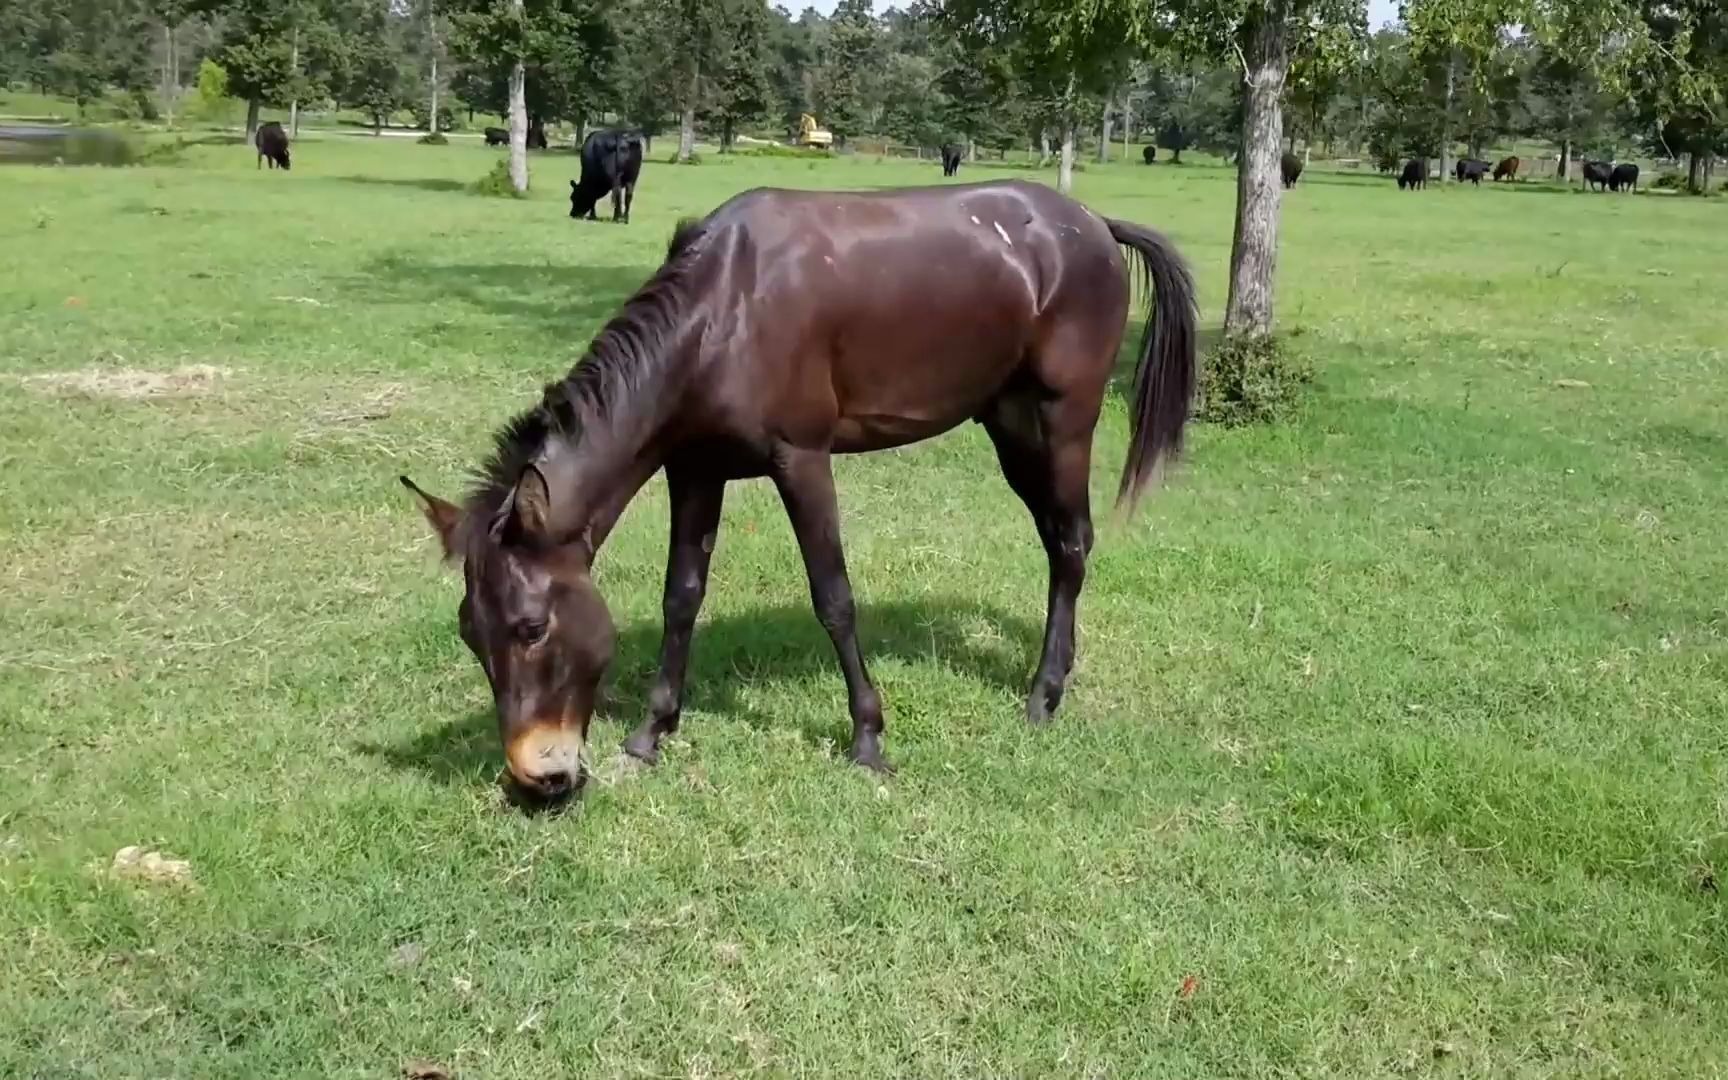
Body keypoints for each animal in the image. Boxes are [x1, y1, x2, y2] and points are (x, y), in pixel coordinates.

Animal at [400, 178, 1202, 801]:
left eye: (533, 628)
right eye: (470, 632)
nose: (537, 780)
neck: (725, 309)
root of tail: (1093, 225)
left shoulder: (803, 461)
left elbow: (834, 598)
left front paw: (869, 739)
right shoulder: (696, 470)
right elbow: (681, 597)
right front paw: (652, 731)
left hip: (1063, 420)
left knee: (1070, 542)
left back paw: (1042, 695)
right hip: (1006, 421)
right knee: (1058, 541)